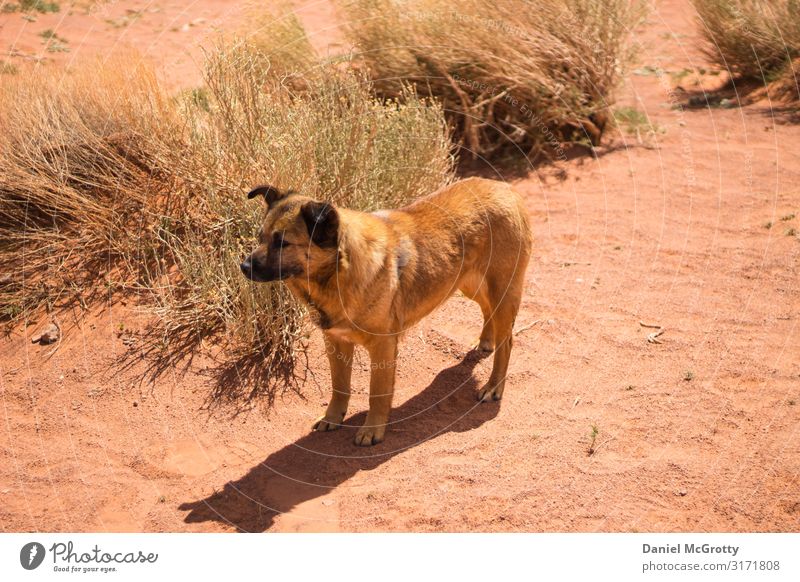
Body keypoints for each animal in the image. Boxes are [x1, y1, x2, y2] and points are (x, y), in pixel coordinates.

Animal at [241, 178, 536, 448]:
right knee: (489, 312)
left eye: (283, 243)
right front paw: (333, 418)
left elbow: (377, 392)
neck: (340, 272)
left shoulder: (382, 347)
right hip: (468, 283)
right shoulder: (335, 342)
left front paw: (372, 430)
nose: (243, 266)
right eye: (260, 237)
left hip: (500, 289)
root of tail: (505, 187)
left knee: (508, 341)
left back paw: (493, 386)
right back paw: (486, 341)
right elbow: (339, 386)